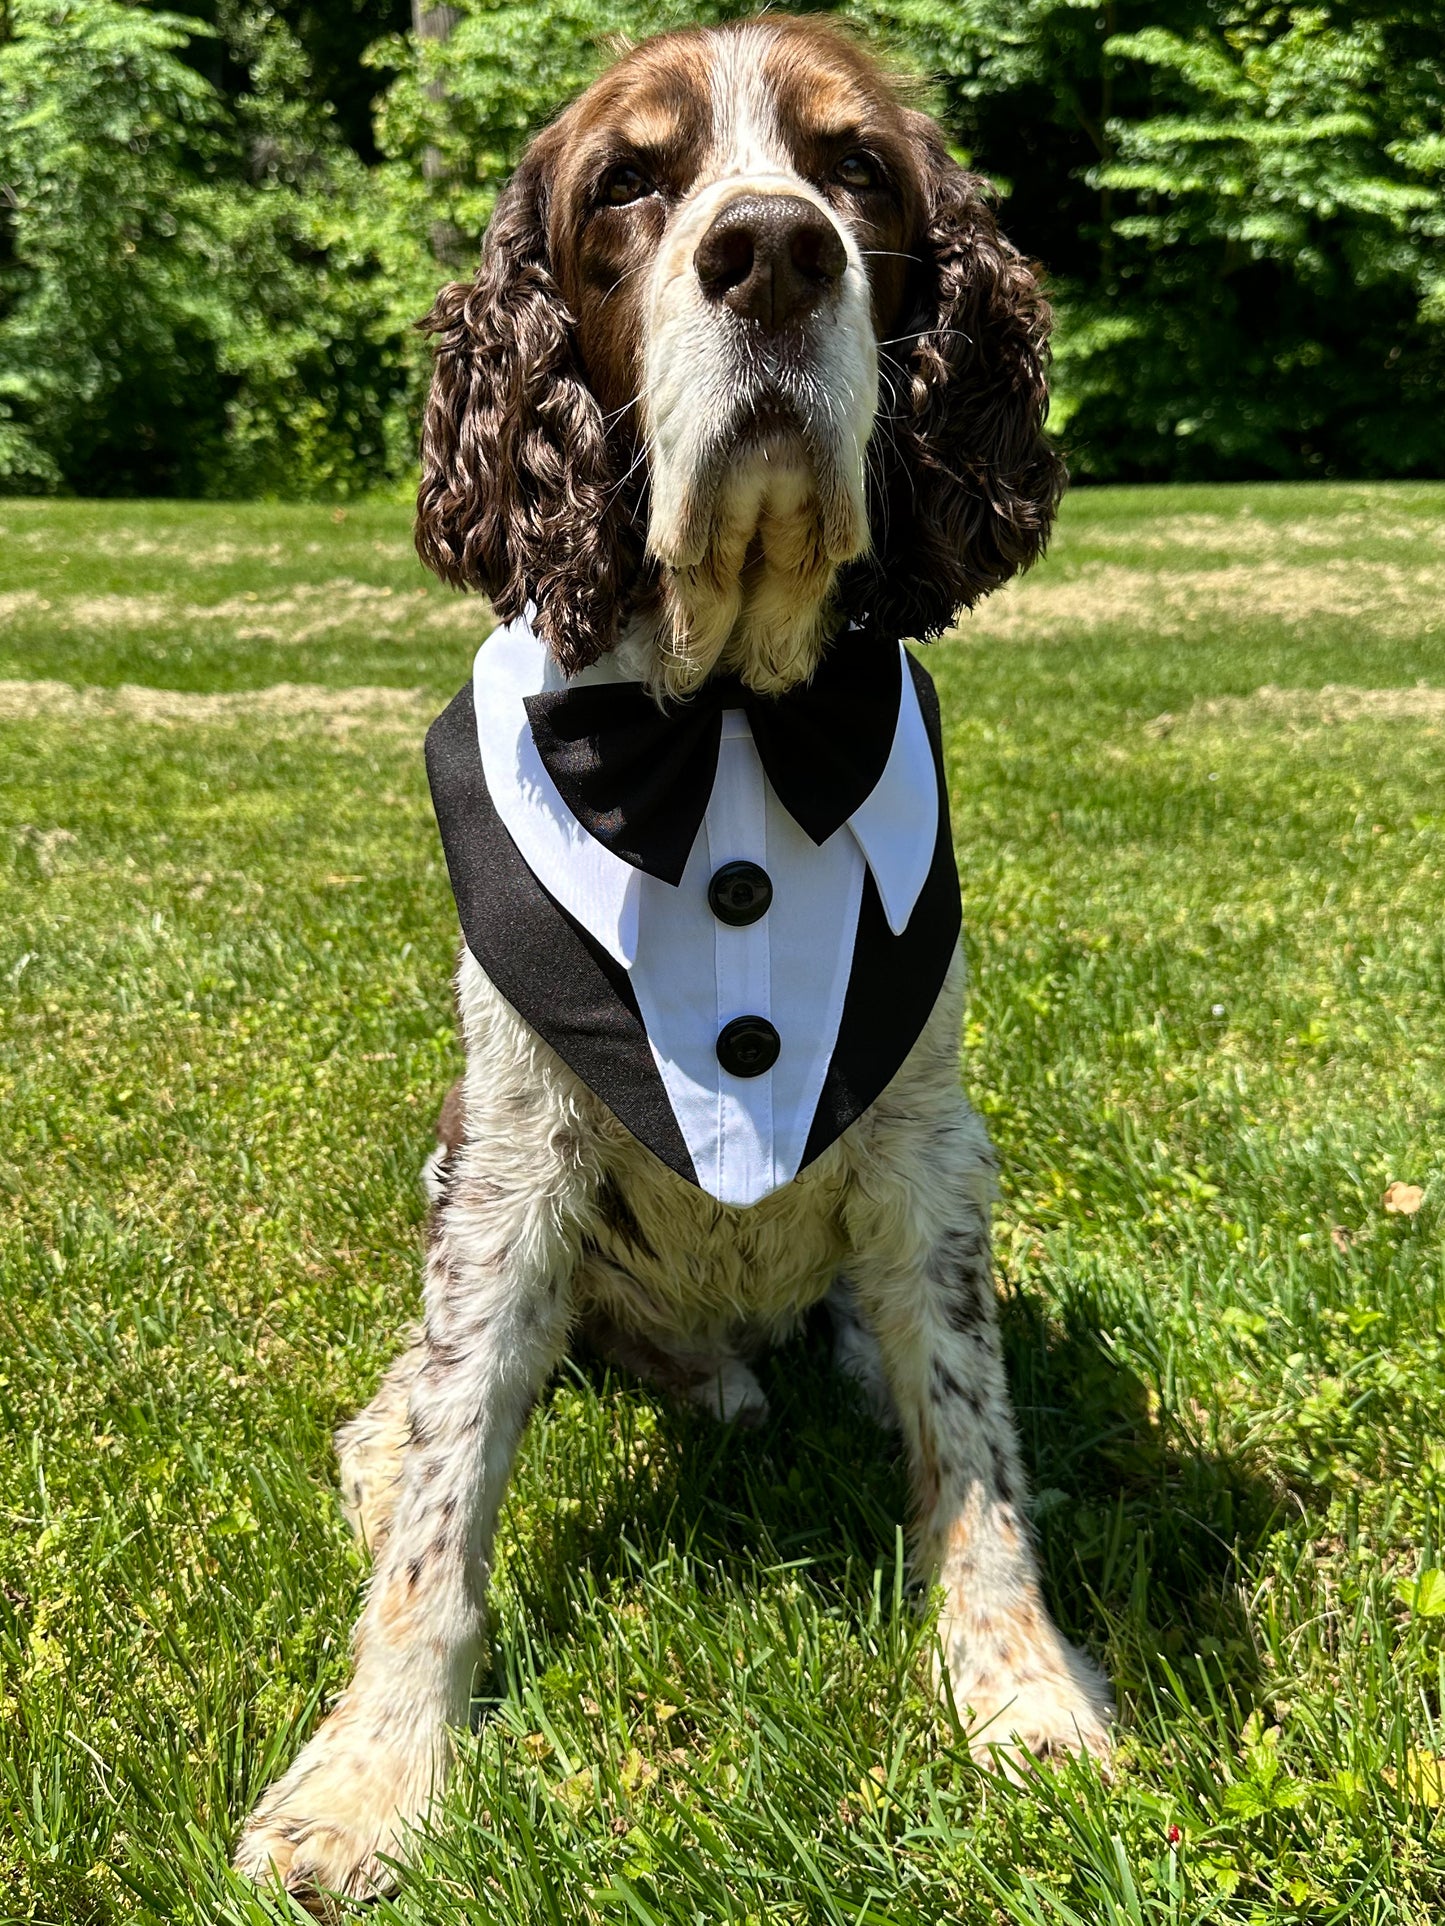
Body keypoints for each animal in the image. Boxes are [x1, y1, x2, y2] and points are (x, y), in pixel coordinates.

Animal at [240, 15, 1109, 1902]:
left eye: (856, 169)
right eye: (629, 182)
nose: (773, 251)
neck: (722, 720)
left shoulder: (929, 1143)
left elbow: (974, 1445)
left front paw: (1023, 1698)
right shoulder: (509, 1163)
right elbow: (442, 1502)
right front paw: (367, 1780)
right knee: (428, 1402)